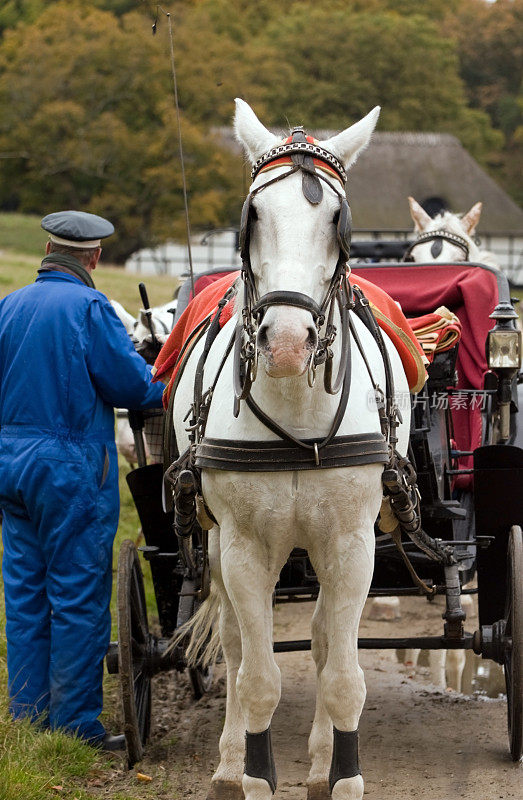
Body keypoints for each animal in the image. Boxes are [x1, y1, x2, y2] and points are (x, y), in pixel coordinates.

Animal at [172, 98, 414, 800]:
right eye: (253, 217)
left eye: (337, 220)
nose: (284, 343)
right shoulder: (245, 549)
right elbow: (256, 679)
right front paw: (254, 775)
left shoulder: (353, 545)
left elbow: (342, 676)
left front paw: (343, 775)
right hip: (218, 544)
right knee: (233, 643)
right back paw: (231, 764)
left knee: (325, 640)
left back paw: (319, 757)